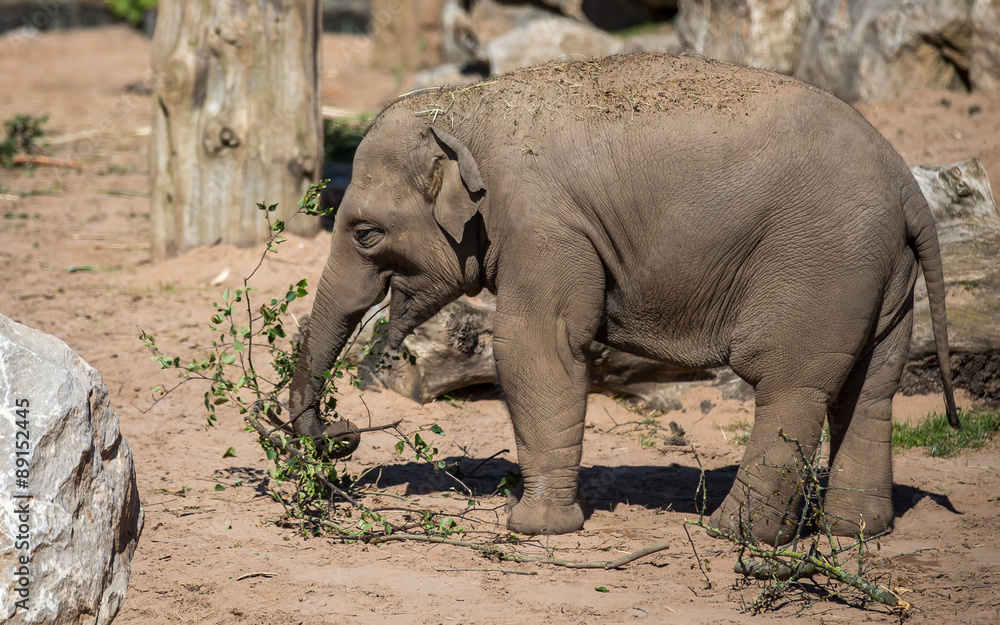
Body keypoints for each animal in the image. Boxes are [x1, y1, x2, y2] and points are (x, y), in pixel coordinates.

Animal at [285, 52, 958, 544]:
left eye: (365, 233)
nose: (341, 433)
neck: (466, 109)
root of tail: (905, 181)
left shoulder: (547, 228)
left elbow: (536, 344)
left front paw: (535, 530)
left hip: (820, 262)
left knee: (789, 385)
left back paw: (735, 536)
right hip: (880, 274)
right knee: (870, 388)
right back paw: (857, 532)